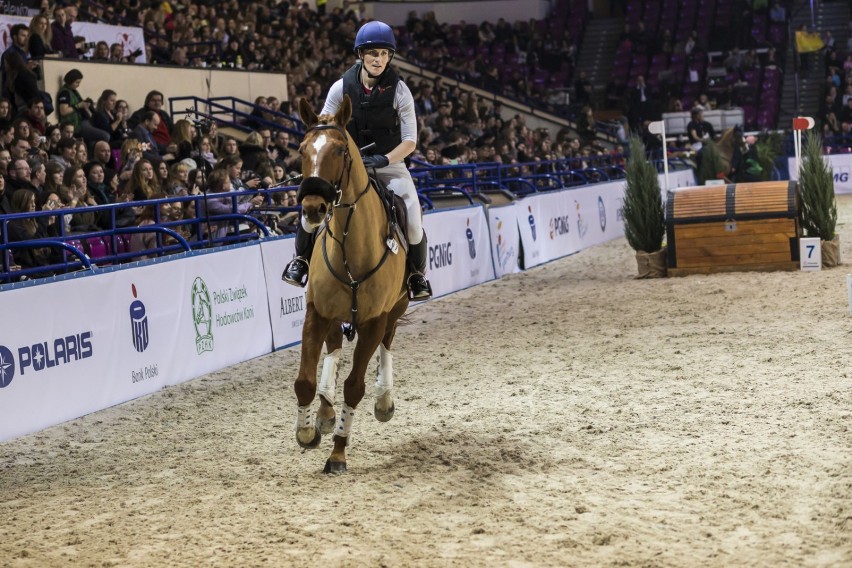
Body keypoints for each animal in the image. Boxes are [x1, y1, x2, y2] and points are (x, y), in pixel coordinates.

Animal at [294, 95, 412, 472]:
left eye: (340, 150)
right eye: (302, 150)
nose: (313, 208)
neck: (350, 245)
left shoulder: (374, 321)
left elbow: (355, 387)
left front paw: (338, 452)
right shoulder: (316, 312)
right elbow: (304, 381)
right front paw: (307, 432)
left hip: (396, 308)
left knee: (387, 343)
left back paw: (384, 399)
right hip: (334, 315)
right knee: (333, 348)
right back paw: (324, 410)